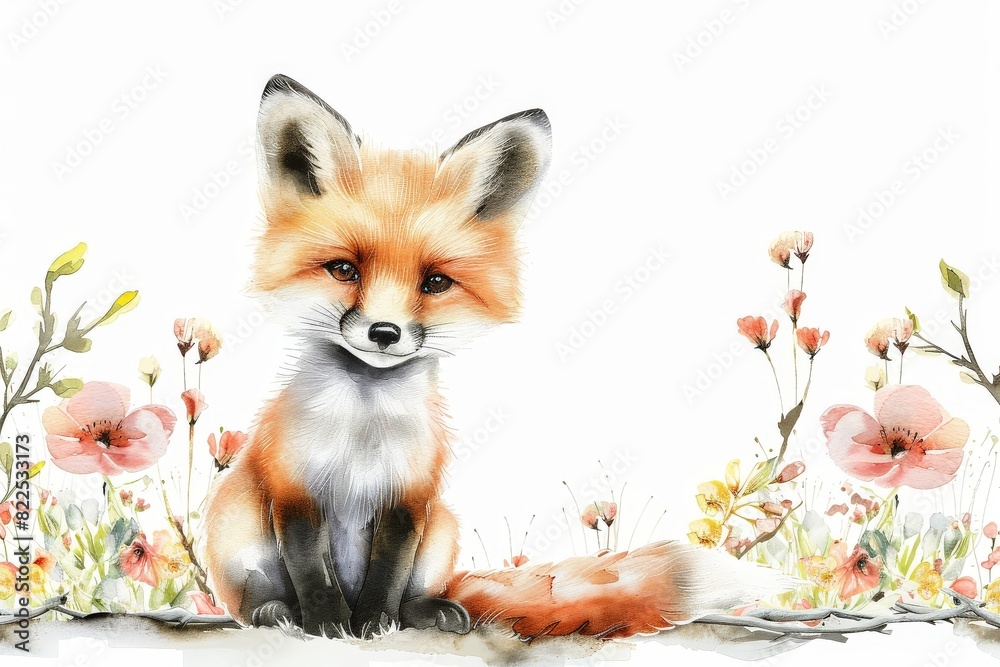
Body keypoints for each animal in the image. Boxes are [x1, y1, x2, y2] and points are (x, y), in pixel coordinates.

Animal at [203, 74, 787, 640]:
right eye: (344, 270)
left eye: (435, 282)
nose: (384, 332)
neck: (363, 434)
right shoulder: (293, 489)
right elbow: (311, 570)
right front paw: (326, 620)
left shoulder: (412, 499)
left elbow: (388, 573)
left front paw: (373, 622)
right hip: (237, 530)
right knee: (254, 599)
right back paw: (277, 611)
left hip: (443, 530)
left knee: (423, 594)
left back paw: (430, 611)